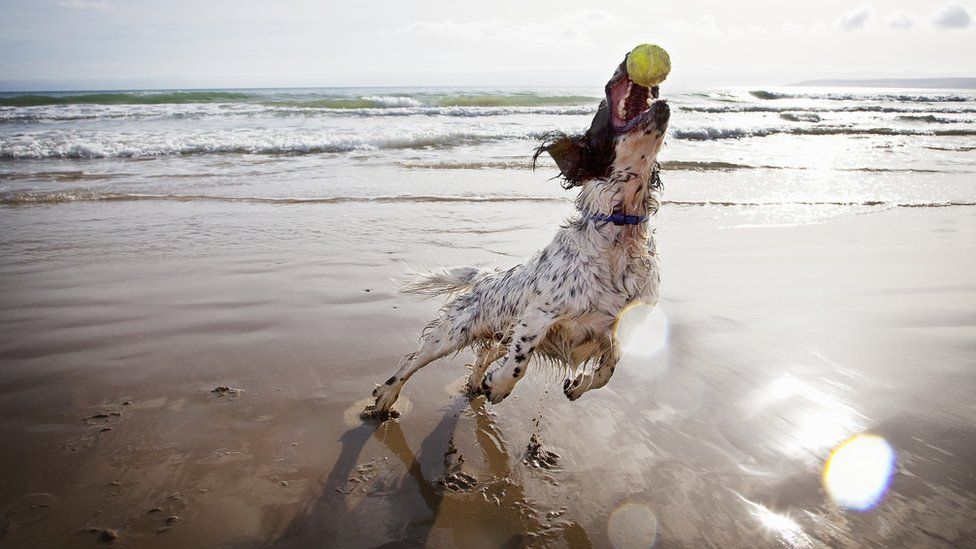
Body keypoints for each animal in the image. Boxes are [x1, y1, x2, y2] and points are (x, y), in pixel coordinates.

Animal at [366, 52, 672, 420]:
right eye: (602, 107)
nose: (627, 57)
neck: (620, 235)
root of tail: (484, 277)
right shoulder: (538, 316)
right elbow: (519, 362)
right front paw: (499, 386)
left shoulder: (620, 326)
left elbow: (607, 371)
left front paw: (577, 385)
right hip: (453, 332)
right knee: (413, 362)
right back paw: (387, 397)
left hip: (496, 333)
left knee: (483, 355)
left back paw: (475, 384)